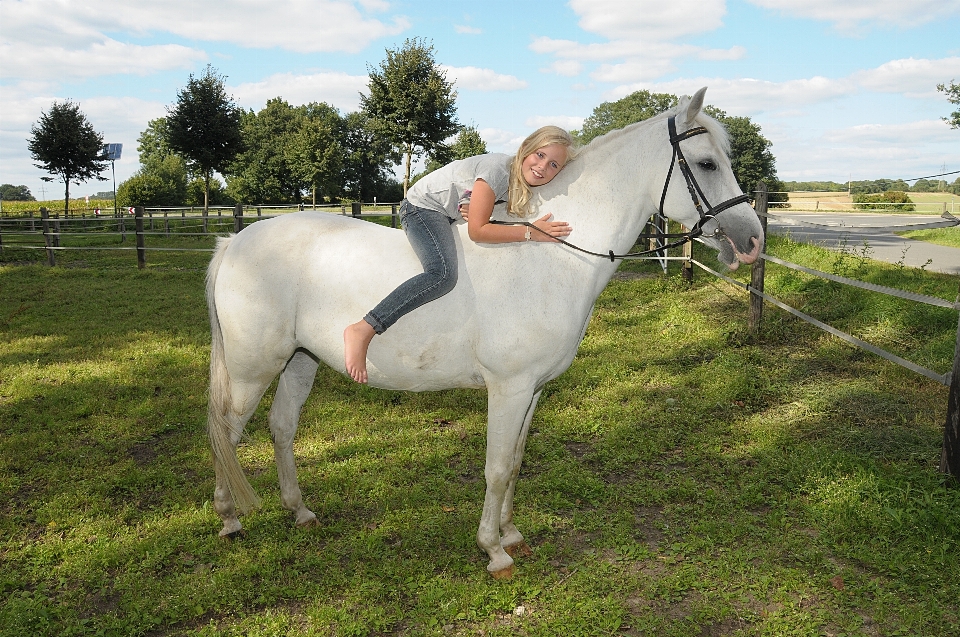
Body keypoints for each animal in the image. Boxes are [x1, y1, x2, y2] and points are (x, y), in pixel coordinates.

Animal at [206, 87, 760, 580]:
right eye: (707, 163)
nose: (751, 239)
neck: (550, 257)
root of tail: (234, 242)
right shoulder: (508, 388)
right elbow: (494, 467)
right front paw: (494, 552)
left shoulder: (533, 389)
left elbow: (513, 463)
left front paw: (511, 534)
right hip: (253, 368)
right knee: (227, 433)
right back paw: (229, 518)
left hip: (300, 360)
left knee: (281, 427)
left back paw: (298, 511)